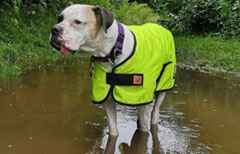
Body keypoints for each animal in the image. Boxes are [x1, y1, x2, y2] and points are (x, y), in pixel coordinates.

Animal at [49, 3, 175, 136]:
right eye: (60, 18)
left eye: (77, 22)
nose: (54, 29)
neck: (112, 51)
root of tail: (162, 27)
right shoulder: (107, 98)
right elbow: (113, 128)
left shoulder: (143, 101)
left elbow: (144, 129)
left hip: (165, 81)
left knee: (156, 110)